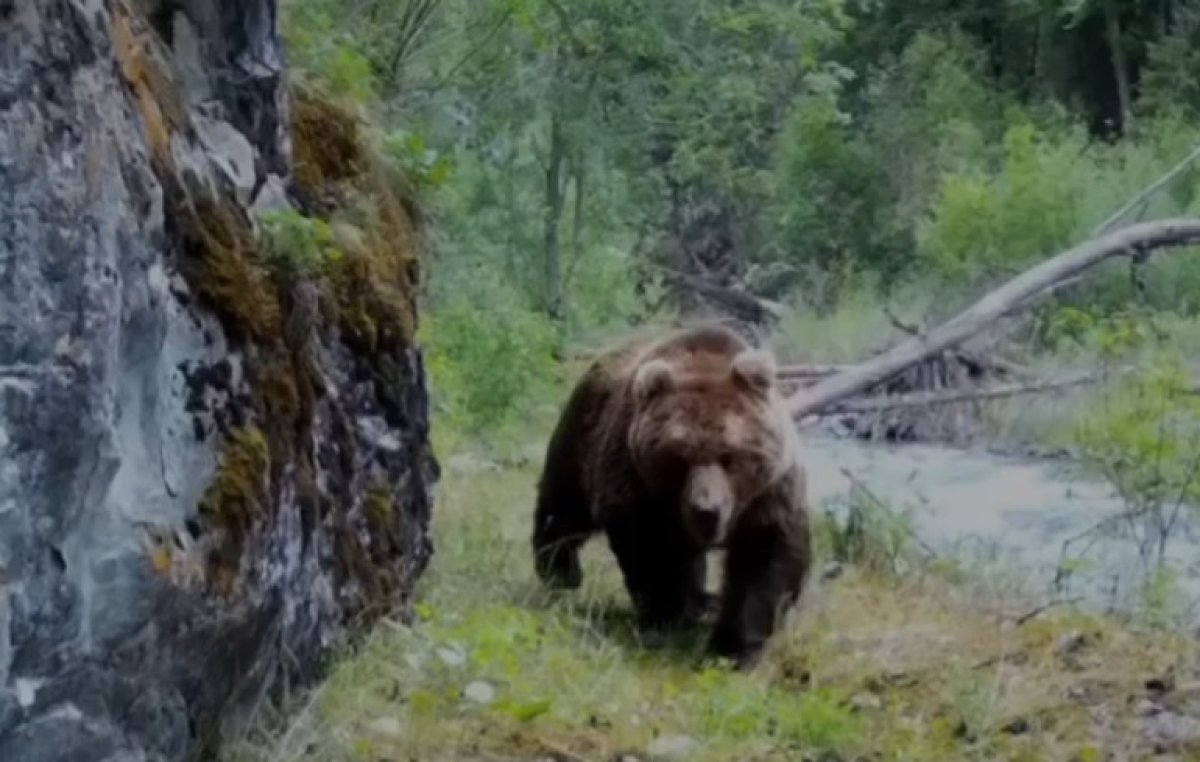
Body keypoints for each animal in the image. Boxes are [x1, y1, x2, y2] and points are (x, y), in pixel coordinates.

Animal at [530, 324, 811, 667]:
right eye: (680, 458)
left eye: (729, 456)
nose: (707, 510)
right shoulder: (639, 486)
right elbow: (653, 553)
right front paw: (668, 617)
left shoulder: (769, 492)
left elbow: (762, 559)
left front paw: (734, 647)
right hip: (583, 435)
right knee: (564, 508)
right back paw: (560, 570)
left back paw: (705, 601)